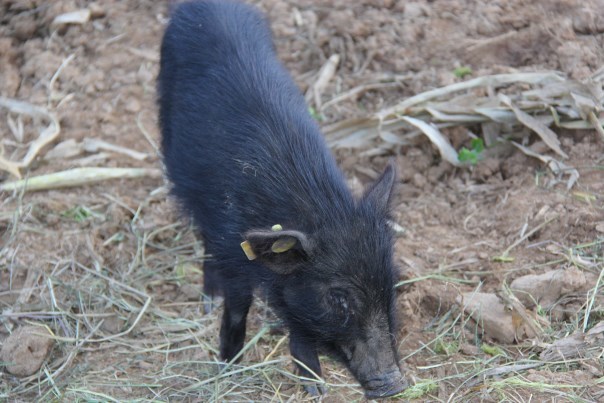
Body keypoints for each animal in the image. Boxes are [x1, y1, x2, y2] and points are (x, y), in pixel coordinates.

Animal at [158, 0, 408, 398]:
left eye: (392, 283)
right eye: (338, 297)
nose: (395, 385)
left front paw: (316, 389)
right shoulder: (233, 249)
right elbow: (237, 309)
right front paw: (227, 366)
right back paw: (208, 301)